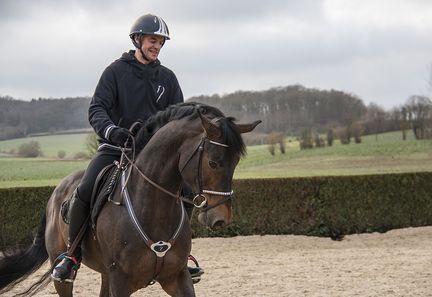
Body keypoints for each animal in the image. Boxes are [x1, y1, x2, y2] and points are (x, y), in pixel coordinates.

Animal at [0, 100, 260, 294]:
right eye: (213, 162)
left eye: (236, 162)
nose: (221, 218)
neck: (152, 208)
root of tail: (56, 192)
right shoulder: (121, 282)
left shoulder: (177, 278)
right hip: (63, 272)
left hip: (106, 274)